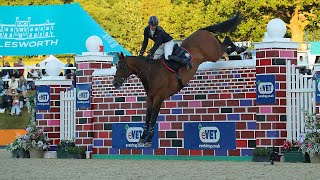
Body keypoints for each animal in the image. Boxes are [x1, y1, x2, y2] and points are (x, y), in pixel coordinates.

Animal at [114, 11, 241, 147]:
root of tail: (201, 30)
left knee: (226, 40)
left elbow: (153, 117)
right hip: (214, 51)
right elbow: (147, 117)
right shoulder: (150, 97)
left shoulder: (159, 97)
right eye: (116, 66)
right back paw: (237, 49)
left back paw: (240, 49)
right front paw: (142, 137)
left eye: (122, 67)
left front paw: (148, 139)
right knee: (225, 45)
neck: (151, 72)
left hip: (213, 53)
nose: (115, 83)